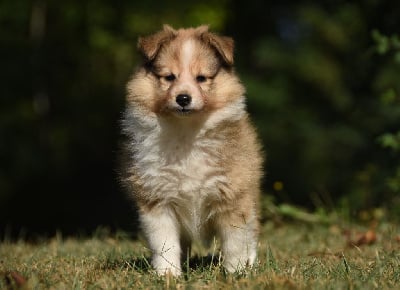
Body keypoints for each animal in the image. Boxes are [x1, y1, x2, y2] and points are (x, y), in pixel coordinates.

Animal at [123, 25, 264, 276]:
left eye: (201, 78)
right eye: (169, 77)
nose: (183, 98)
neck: (186, 131)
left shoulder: (233, 196)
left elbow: (235, 241)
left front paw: (235, 273)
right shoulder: (157, 199)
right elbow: (165, 243)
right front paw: (168, 275)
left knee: (251, 235)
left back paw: (250, 264)